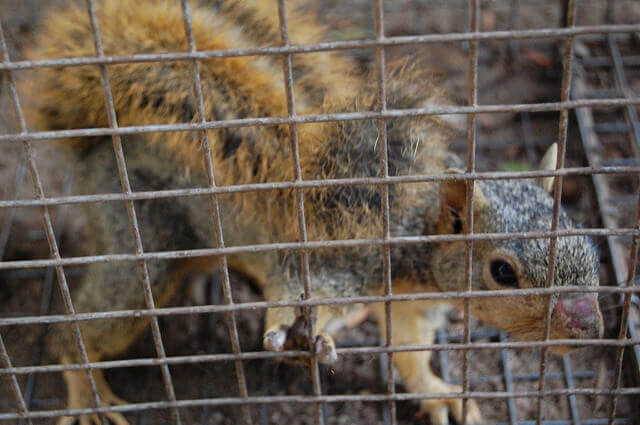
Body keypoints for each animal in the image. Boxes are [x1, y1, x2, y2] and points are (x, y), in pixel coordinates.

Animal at [21, 1, 604, 424]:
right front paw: (290, 331)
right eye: (502, 271)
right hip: (146, 235)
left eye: (585, 239)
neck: (413, 233)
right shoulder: (339, 258)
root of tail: (99, 144)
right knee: (78, 330)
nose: (590, 329)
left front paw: (440, 393)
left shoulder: (413, 306)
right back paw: (88, 393)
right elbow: (295, 293)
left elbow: (409, 354)